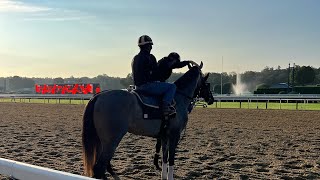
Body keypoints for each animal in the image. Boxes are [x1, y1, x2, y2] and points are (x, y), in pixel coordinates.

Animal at [81, 61, 214, 179]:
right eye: (207, 83)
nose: (211, 99)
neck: (178, 98)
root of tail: (99, 96)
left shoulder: (164, 137)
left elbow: (164, 157)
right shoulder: (174, 136)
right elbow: (171, 159)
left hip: (102, 142)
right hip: (111, 141)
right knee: (100, 167)